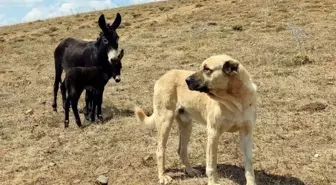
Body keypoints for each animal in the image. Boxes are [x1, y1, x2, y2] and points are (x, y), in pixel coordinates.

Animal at [135, 55, 256, 185]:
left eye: (207, 69)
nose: (186, 80)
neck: (235, 101)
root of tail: (164, 75)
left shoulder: (246, 133)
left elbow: (249, 164)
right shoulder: (213, 133)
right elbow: (211, 165)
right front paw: (212, 182)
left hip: (186, 124)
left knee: (181, 150)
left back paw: (190, 171)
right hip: (165, 121)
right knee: (160, 150)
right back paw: (162, 176)